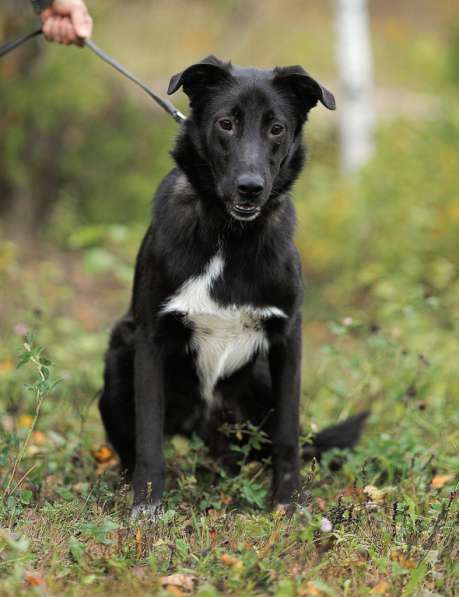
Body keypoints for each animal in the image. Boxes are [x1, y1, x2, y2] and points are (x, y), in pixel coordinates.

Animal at [99, 53, 368, 516]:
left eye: (276, 128)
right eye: (226, 123)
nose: (250, 188)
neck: (229, 235)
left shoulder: (287, 339)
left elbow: (287, 434)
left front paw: (290, 502)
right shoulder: (150, 338)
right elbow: (149, 437)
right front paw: (147, 505)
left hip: (258, 379)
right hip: (120, 351)